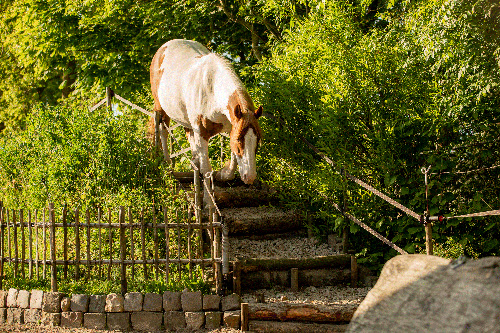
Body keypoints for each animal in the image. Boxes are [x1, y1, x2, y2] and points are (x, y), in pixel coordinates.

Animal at [150, 39, 264, 185]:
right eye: (239, 139)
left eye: (258, 138)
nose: (250, 177)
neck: (212, 90)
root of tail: (164, 46)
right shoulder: (201, 131)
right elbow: (206, 170)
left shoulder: (232, 126)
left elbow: (231, 163)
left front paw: (223, 173)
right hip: (161, 108)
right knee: (163, 130)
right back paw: (167, 162)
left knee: (189, 135)